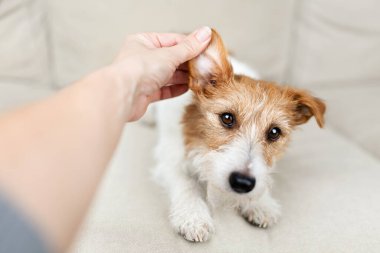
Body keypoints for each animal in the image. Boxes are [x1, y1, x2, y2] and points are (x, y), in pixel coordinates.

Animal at [153, 29, 326, 243]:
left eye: (274, 132)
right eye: (227, 118)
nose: (242, 183)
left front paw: (261, 203)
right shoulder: (170, 159)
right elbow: (187, 184)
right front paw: (193, 216)